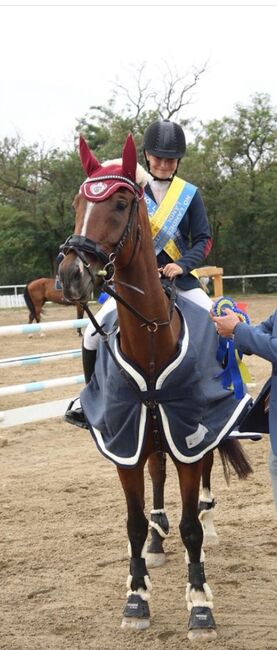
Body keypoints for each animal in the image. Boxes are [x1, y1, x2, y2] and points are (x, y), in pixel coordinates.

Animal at [58, 133, 252, 636]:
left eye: (121, 203)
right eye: (78, 203)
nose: (70, 275)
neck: (150, 340)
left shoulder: (189, 432)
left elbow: (191, 527)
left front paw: (200, 604)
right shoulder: (124, 440)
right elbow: (132, 522)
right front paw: (136, 597)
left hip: (195, 432)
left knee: (200, 487)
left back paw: (203, 522)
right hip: (151, 434)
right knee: (157, 476)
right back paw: (157, 538)